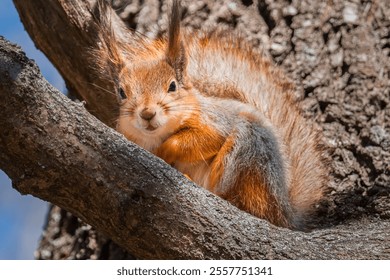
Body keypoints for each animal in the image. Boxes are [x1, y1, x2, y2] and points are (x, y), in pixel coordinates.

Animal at [93, 0, 326, 230]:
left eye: (172, 86)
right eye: (121, 92)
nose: (147, 113)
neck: (156, 135)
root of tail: (285, 213)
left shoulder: (216, 120)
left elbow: (206, 138)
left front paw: (165, 151)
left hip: (248, 151)